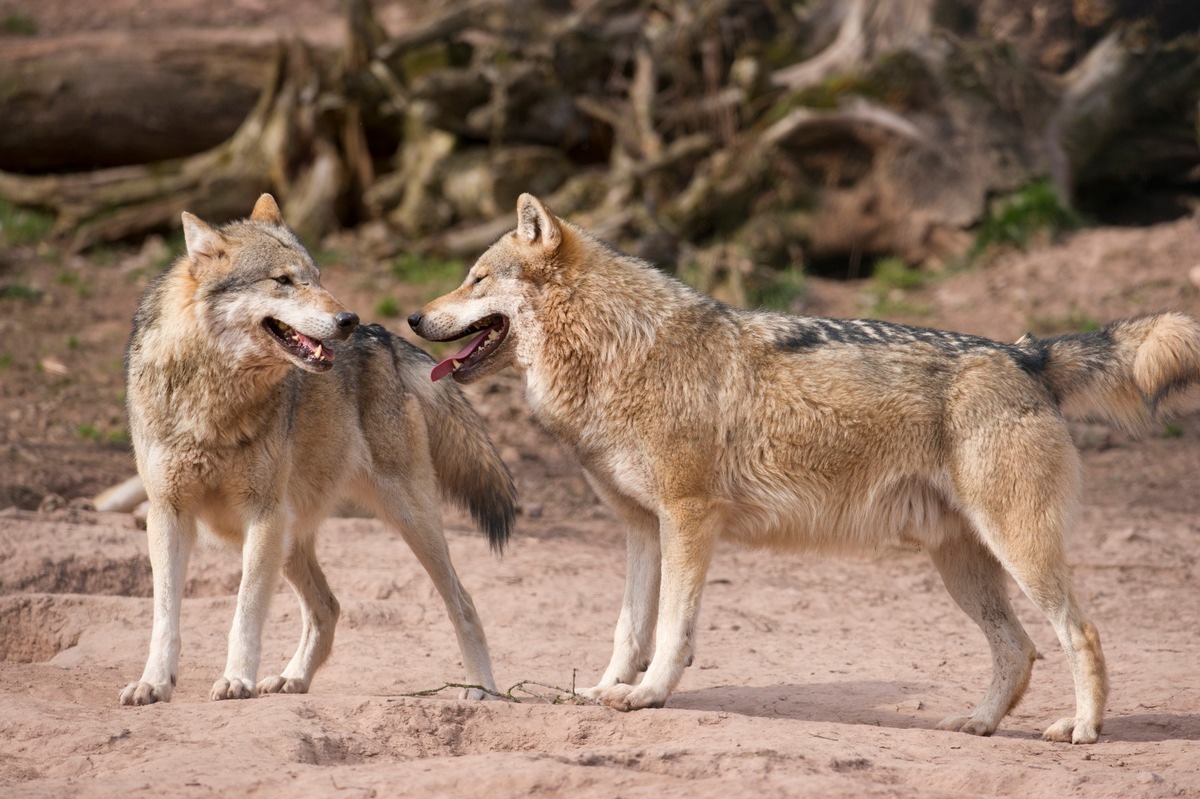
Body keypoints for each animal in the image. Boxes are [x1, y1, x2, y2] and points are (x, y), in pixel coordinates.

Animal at [120, 193, 516, 705]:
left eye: (318, 277)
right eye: (283, 281)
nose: (347, 320)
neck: (213, 401)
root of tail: (385, 336)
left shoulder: (263, 515)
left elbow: (245, 613)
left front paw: (236, 679)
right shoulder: (168, 513)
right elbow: (165, 617)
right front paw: (154, 682)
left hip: (407, 517)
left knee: (462, 602)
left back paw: (482, 689)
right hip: (293, 539)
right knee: (328, 606)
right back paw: (293, 678)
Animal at [408, 191, 1200, 739]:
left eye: (476, 279)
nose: (413, 318)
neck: (619, 349)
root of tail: (1027, 352)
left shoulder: (690, 519)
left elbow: (670, 631)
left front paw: (649, 695)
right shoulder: (640, 529)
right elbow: (628, 629)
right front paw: (606, 690)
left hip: (1019, 551)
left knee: (1079, 634)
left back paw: (1084, 729)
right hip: (962, 566)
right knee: (1020, 651)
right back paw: (977, 723)